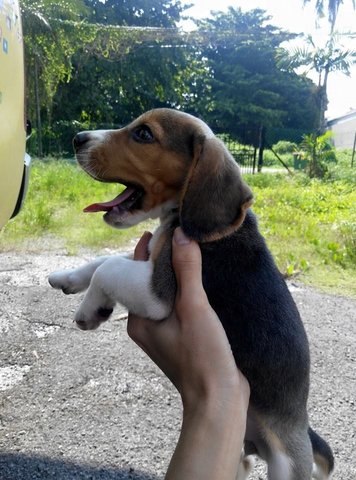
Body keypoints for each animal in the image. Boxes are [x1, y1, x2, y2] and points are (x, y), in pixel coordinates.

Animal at [48, 109, 336, 480]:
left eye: (143, 134)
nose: (77, 138)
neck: (178, 215)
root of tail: (302, 427)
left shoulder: (157, 292)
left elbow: (108, 266)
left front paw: (89, 311)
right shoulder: (148, 257)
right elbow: (102, 260)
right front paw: (67, 278)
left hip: (285, 464)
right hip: (242, 454)